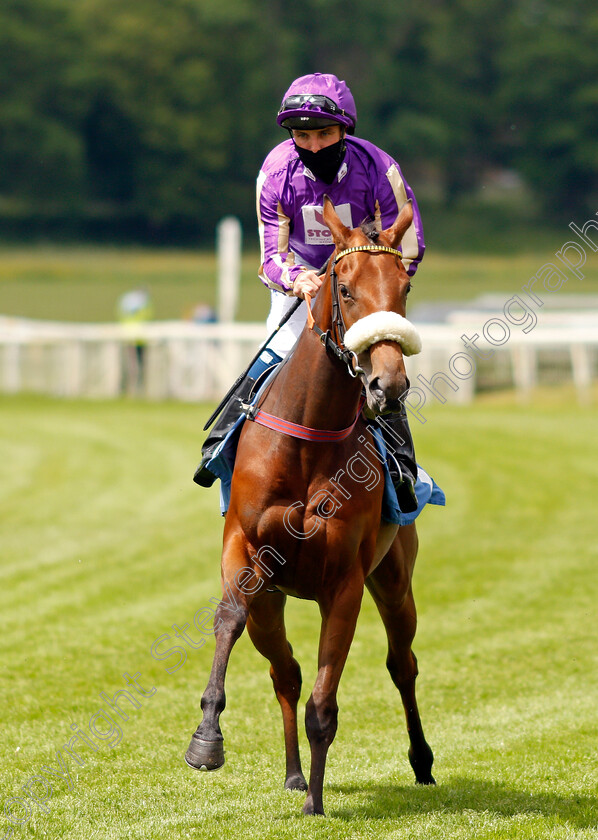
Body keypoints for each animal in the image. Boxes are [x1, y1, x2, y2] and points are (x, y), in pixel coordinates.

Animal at [186, 195, 436, 812]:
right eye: (344, 288)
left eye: (405, 287)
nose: (387, 384)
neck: (307, 439)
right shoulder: (244, 550)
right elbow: (228, 617)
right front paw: (206, 740)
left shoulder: (344, 582)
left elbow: (325, 701)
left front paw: (316, 804)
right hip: (273, 603)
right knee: (287, 672)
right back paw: (294, 773)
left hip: (394, 580)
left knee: (402, 663)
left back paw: (418, 760)